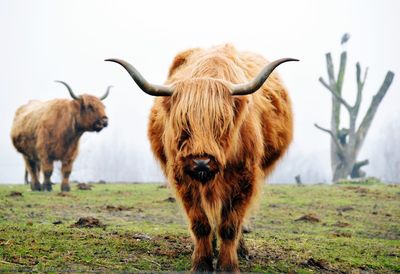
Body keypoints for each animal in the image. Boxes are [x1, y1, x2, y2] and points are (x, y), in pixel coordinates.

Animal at [107, 45, 296, 272]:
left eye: (221, 123)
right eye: (184, 123)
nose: (201, 162)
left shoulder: (245, 178)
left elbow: (230, 225)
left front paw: (228, 266)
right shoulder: (183, 178)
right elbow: (201, 224)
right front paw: (202, 263)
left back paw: (241, 250)